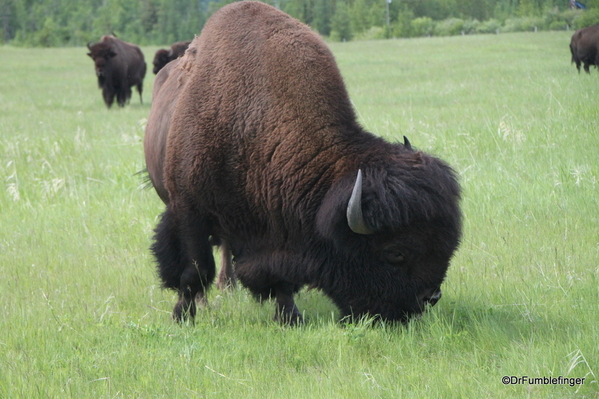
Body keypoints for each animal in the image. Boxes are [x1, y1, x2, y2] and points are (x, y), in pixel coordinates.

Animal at [146, 0, 464, 324]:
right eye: (395, 253)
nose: (429, 298)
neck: (254, 123)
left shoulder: (279, 229)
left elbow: (281, 279)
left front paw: (289, 316)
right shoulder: (188, 209)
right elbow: (194, 269)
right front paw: (182, 316)